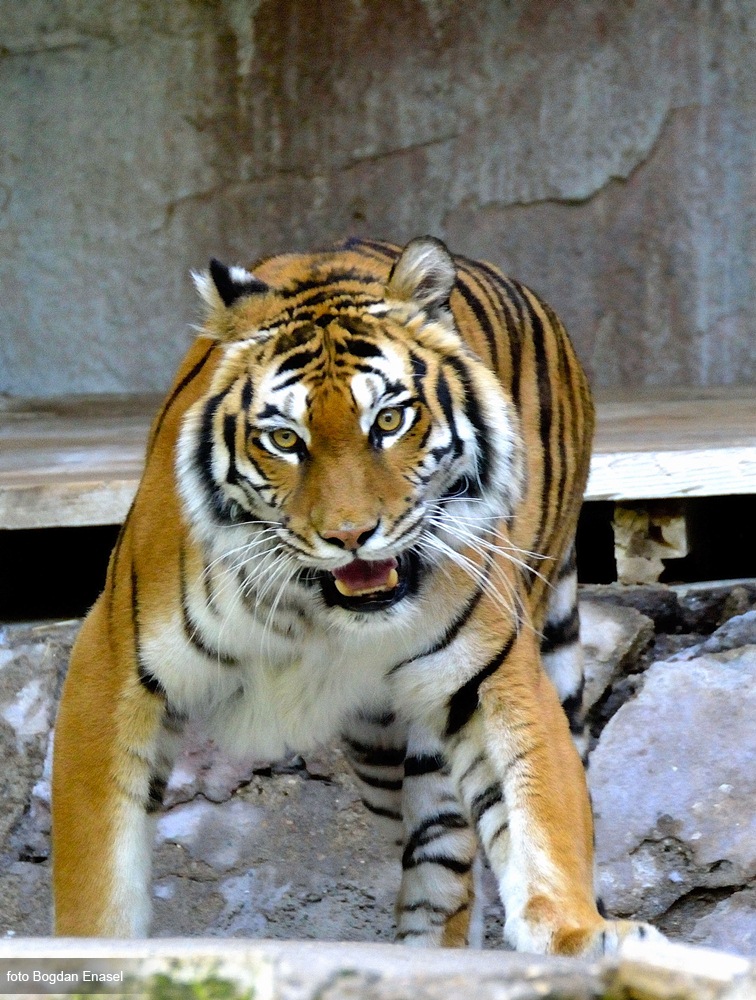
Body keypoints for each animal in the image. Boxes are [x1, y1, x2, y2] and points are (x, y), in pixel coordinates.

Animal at [51, 236, 660, 953]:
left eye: (390, 420)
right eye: (285, 439)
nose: (349, 535)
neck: (312, 611)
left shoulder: (490, 674)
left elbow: (539, 806)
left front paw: (583, 936)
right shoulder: (111, 666)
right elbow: (96, 872)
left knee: (445, 867)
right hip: (376, 754)